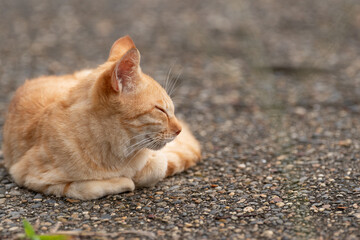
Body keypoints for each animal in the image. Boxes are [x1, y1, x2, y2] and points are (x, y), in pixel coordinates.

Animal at [1, 35, 201, 200]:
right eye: (161, 110)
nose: (179, 130)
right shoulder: (31, 177)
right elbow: (87, 189)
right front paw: (125, 181)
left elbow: (158, 165)